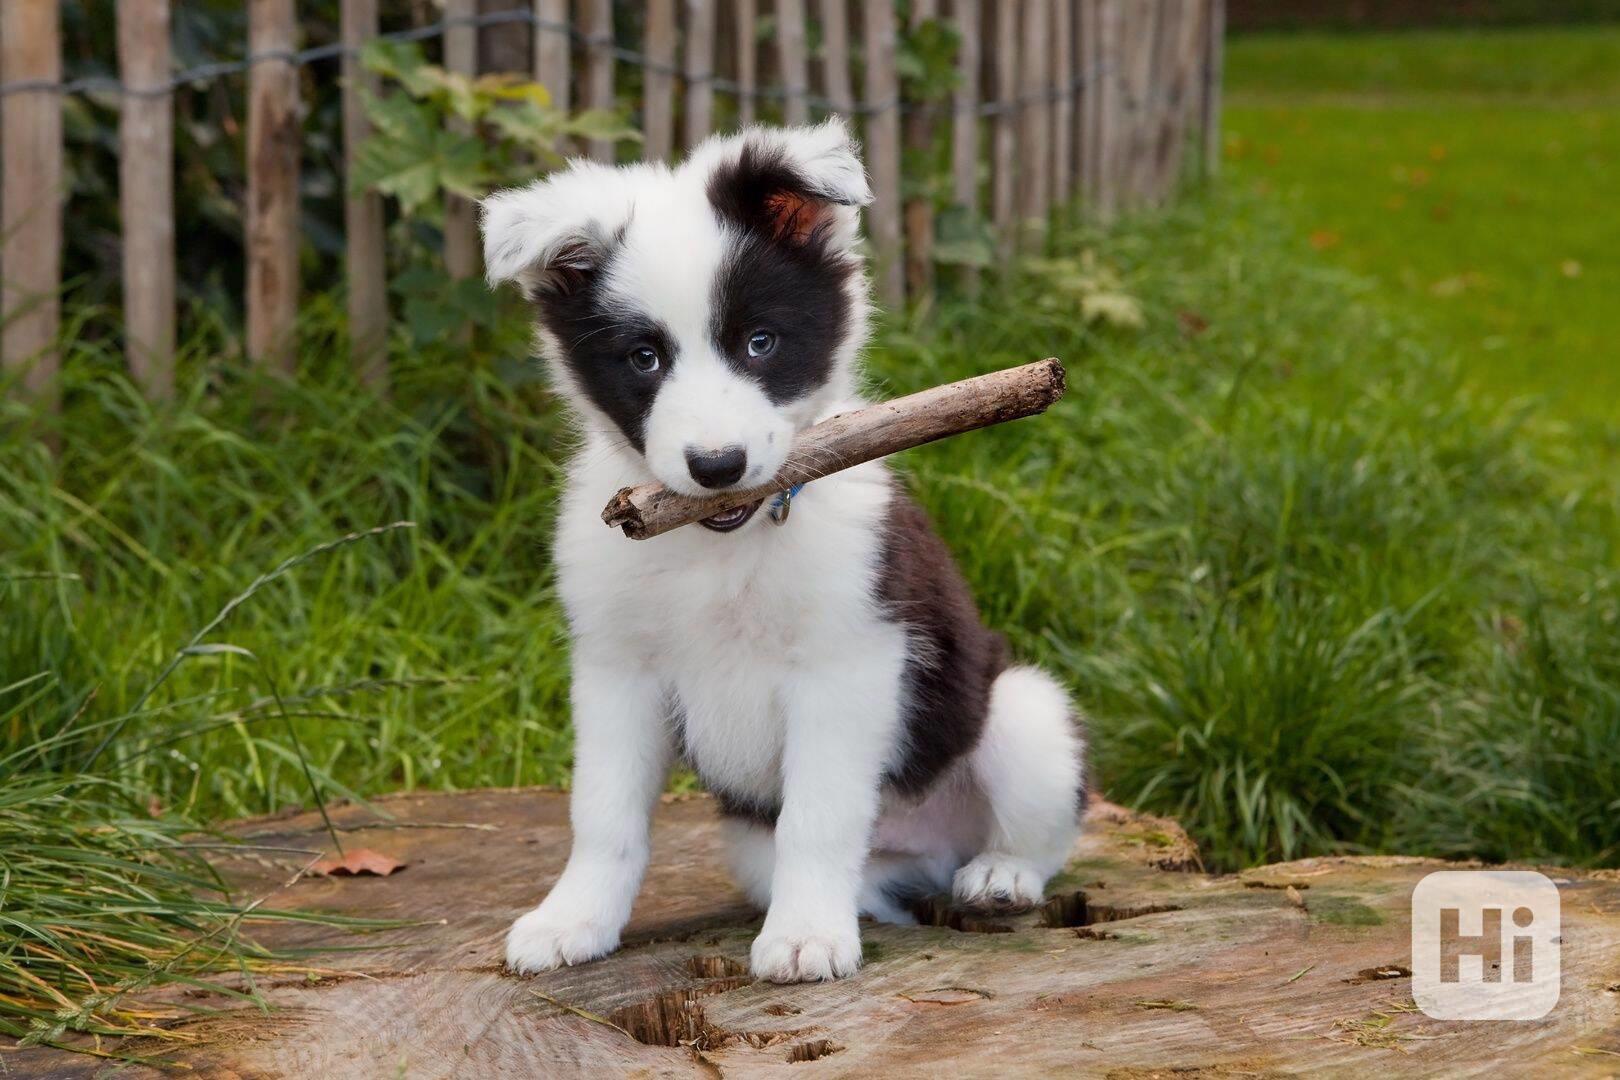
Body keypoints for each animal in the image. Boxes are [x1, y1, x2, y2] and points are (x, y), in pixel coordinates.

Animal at [479, 120, 1088, 990]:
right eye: (643, 359)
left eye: (759, 343)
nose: (717, 466)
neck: (721, 548)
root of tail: (929, 849)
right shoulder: (615, 669)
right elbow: (602, 813)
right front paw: (573, 921)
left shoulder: (846, 662)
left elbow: (819, 816)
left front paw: (804, 938)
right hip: (750, 840)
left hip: (1020, 712)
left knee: (1045, 830)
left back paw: (1000, 875)